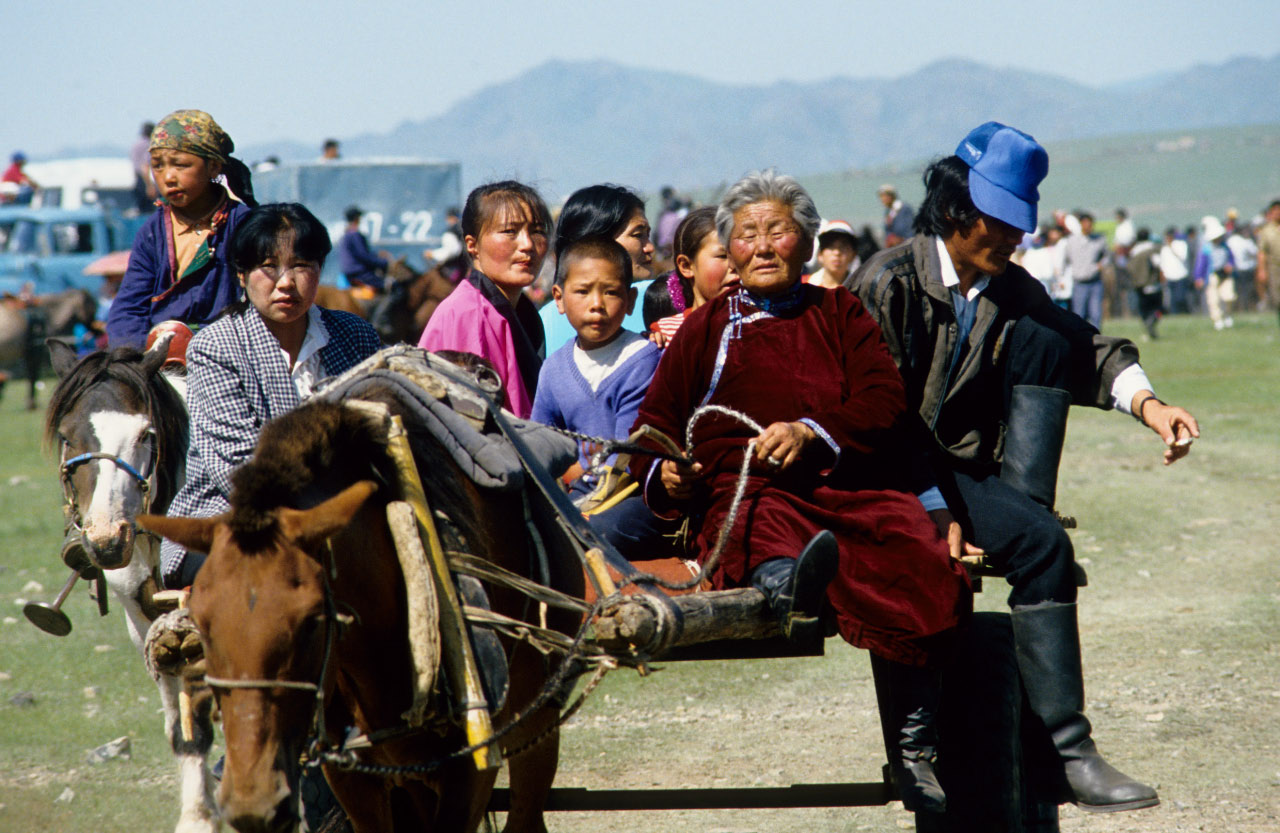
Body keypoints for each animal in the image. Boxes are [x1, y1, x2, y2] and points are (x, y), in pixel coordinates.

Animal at [45, 337, 220, 833]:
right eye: (68, 436)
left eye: (146, 435)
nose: (107, 540)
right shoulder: (151, 626)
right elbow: (186, 723)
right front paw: (198, 816)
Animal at [141, 396, 581, 833]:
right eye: (202, 623)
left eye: (312, 622)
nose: (254, 804)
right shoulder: (353, 778)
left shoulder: (472, 768)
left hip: (534, 724)